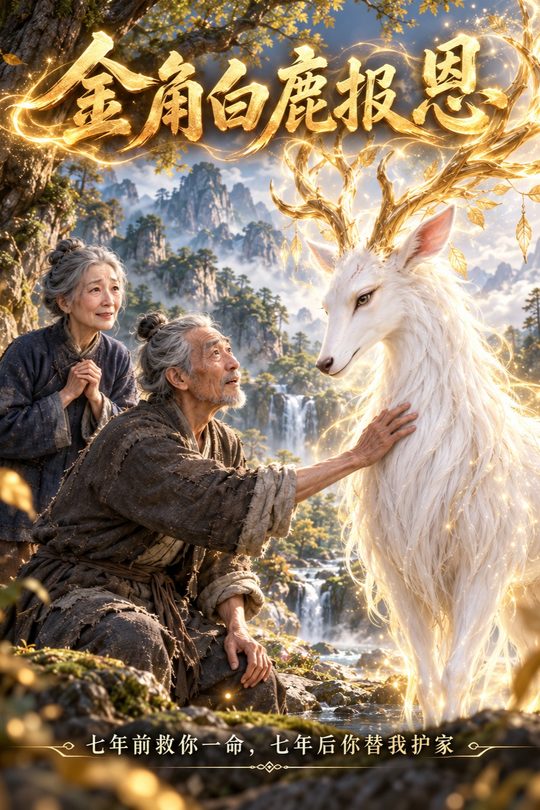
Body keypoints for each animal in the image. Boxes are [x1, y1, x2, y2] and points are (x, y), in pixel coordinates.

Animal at [271, 0, 540, 726]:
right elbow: (422, 676)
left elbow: (454, 674)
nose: (326, 362)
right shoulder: (400, 571)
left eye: (366, 295)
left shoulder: (486, 563)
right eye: (327, 298)